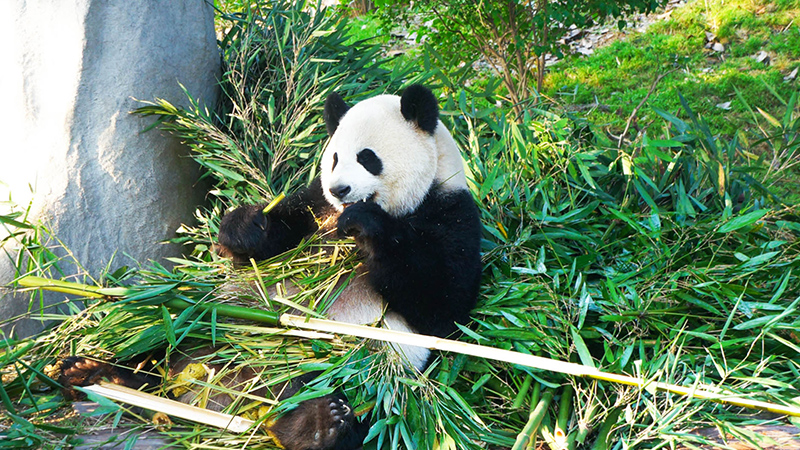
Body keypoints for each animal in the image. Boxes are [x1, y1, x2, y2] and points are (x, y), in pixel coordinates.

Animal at [59, 85, 482, 450]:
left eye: (367, 157)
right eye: (334, 159)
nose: (340, 189)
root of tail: (209, 395)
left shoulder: (451, 215)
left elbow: (441, 305)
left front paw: (367, 224)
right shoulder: (314, 206)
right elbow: (272, 238)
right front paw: (245, 225)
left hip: (354, 365)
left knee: (330, 389)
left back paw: (317, 424)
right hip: (212, 319)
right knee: (163, 331)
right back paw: (96, 371)